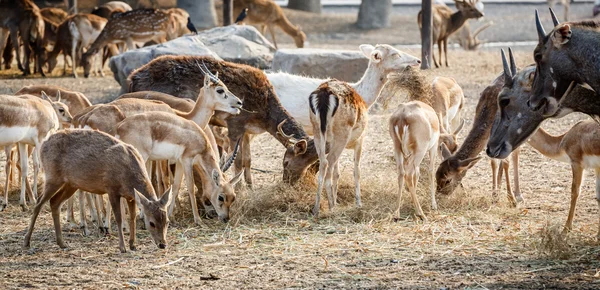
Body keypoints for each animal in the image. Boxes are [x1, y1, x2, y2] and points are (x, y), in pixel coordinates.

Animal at [22, 129, 173, 254]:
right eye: (152, 223)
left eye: (167, 221)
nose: (163, 244)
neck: (128, 176)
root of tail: (43, 144)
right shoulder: (112, 188)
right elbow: (118, 218)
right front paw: (122, 247)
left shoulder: (130, 196)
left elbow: (132, 218)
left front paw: (133, 245)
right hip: (52, 175)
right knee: (39, 204)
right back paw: (27, 241)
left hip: (70, 183)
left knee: (54, 202)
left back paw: (62, 243)